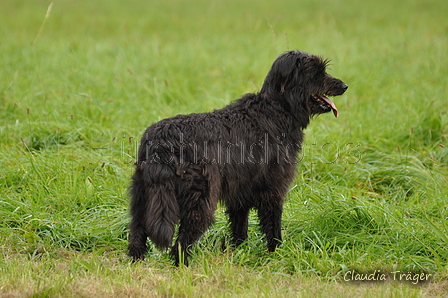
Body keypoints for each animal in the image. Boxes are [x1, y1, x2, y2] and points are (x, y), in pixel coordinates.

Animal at [128, 49, 348, 266]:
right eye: (317, 73)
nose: (345, 86)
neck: (277, 106)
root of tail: (161, 141)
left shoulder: (239, 193)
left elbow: (239, 229)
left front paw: (238, 253)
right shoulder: (274, 190)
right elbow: (273, 226)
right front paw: (277, 254)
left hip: (143, 198)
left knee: (137, 234)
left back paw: (136, 262)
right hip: (200, 201)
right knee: (180, 244)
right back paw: (183, 268)